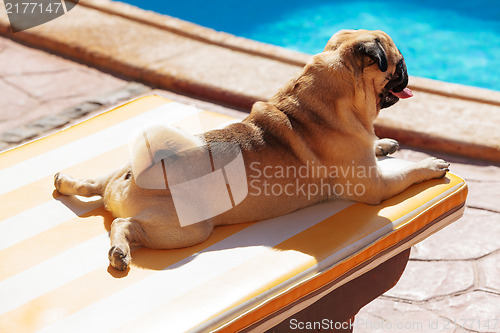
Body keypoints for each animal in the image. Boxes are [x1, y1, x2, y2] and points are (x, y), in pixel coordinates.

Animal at [54, 29, 450, 270]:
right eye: (399, 64)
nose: (409, 73)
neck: (313, 107)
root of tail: (131, 176)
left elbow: (379, 149)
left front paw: (383, 142)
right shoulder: (375, 187)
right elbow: (407, 171)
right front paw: (430, 164)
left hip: (116, 175)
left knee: (95, 186)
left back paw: (68, 181)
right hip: (188, 228)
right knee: (123, 223)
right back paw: (120, 250)